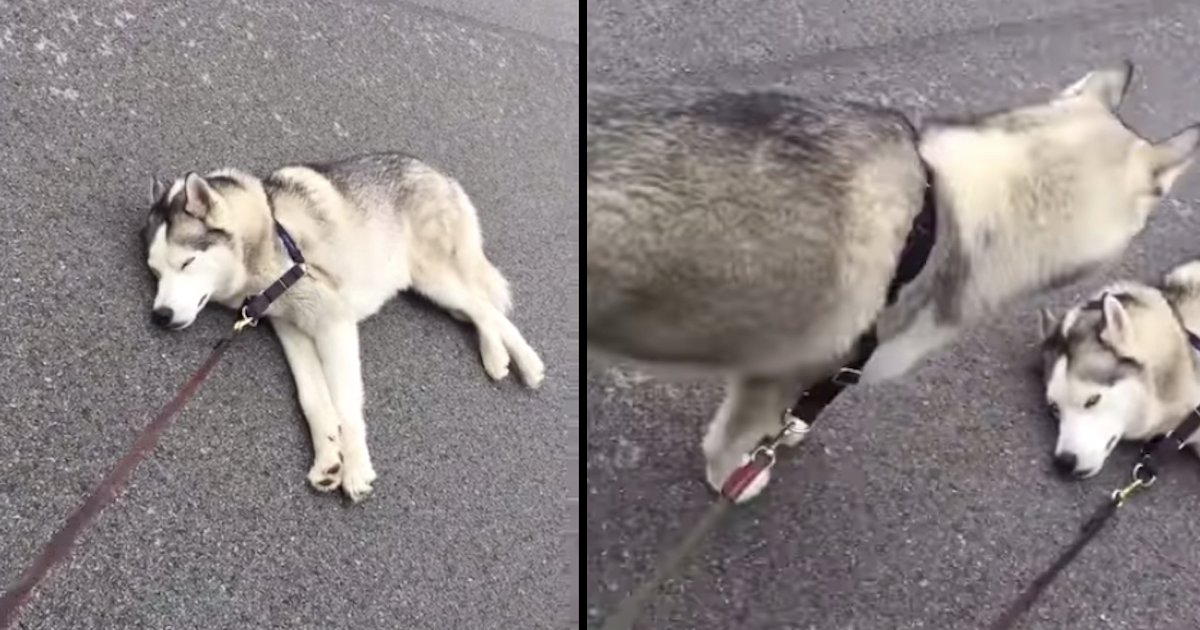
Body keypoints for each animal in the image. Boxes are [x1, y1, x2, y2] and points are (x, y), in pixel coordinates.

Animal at [141, 152, 549, 501]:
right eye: (156, 272)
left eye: (187, 263)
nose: (160, 315)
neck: (270, 240)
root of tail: (434, 170)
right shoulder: (292, 329)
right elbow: (314, 399)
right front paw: (327, 460)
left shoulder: (334, 324)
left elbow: (346, 403)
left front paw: (355, 468)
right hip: (431, 287)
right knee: (481, 309)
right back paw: (498, 355)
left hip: (432, 277)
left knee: (485, 306)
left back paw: (523, 362)